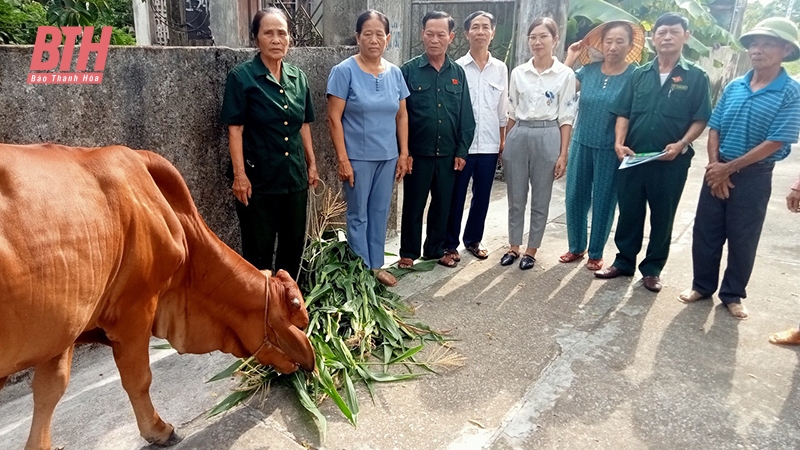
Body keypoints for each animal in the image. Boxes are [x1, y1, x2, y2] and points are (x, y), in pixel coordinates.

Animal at [0, 144, 318, 450]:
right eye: (296, 322)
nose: (310, 361)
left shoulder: (65, 327)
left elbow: (50, 390)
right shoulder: (134, 311)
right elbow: (138, 379)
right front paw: (158, 430)